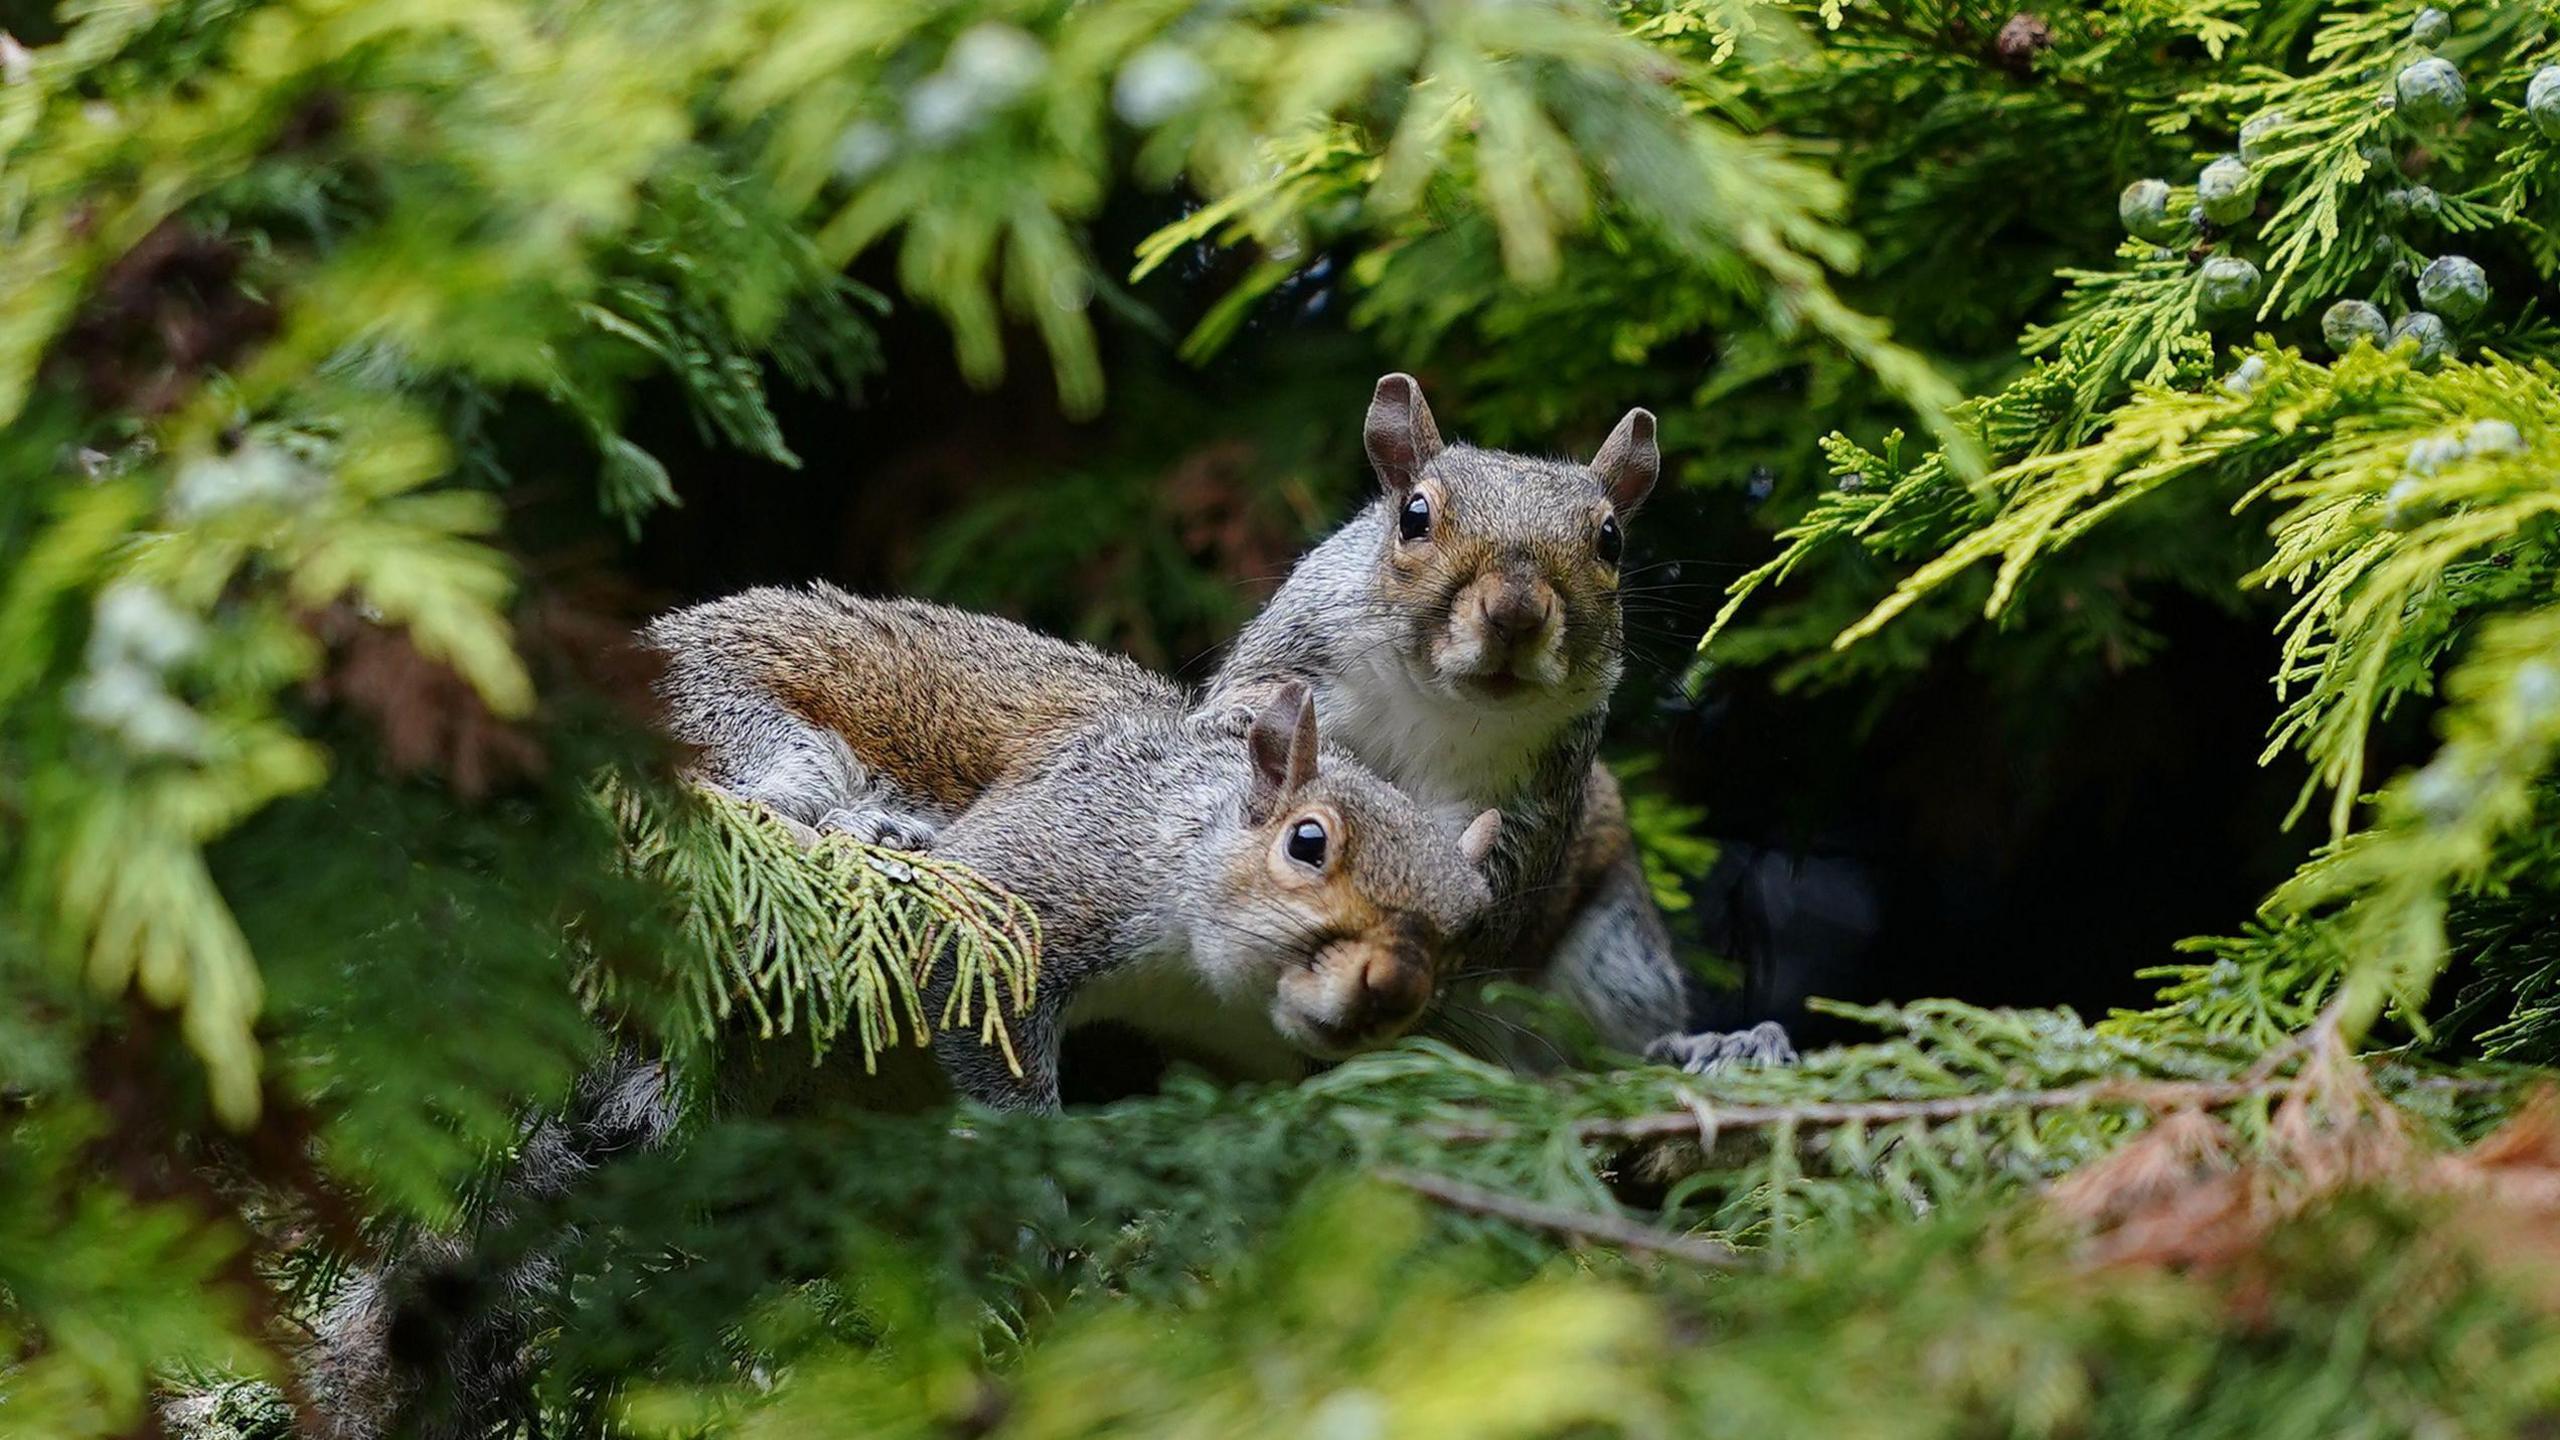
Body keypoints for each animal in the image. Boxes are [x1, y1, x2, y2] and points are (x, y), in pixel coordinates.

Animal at [650, 589, 1505, 1101]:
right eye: (1307, 843)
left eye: (1472, 925)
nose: (1392, 987)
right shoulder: (1047, 873)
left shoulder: (1242, 1054)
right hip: (736, 720)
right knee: (752, 802)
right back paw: (875, 829)